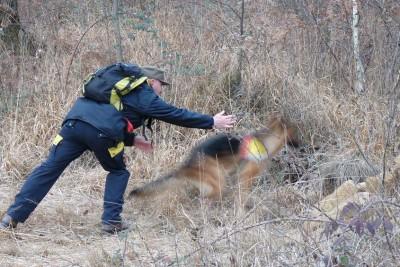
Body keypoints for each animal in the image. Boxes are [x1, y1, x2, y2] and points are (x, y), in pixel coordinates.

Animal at [126, 116, 298, 202]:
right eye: (296, 132)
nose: (302, 144)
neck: (266, 141)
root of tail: (186, 165)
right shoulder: (245, 178)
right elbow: (242, 196)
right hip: (218, 181)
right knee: (206, 197)